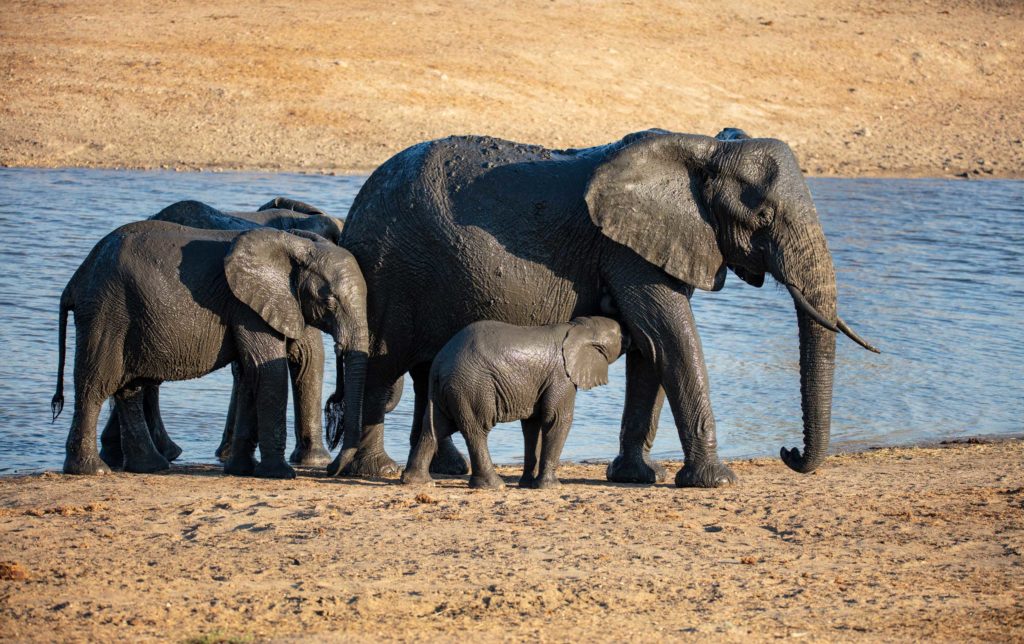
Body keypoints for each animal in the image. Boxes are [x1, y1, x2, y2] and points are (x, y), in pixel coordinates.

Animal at [399, 315, 622, 487]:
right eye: (620, 335)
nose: (626, 336)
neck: (578, 326)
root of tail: (438, 364)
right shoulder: (561, 375)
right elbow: (557, 419)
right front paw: (551, 487)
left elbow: (532, 425)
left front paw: (527, 485)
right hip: (471, 386)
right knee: (476, 429)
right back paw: (494, 485)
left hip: (445, 390)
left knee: (435, 427)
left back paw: (417, 481)